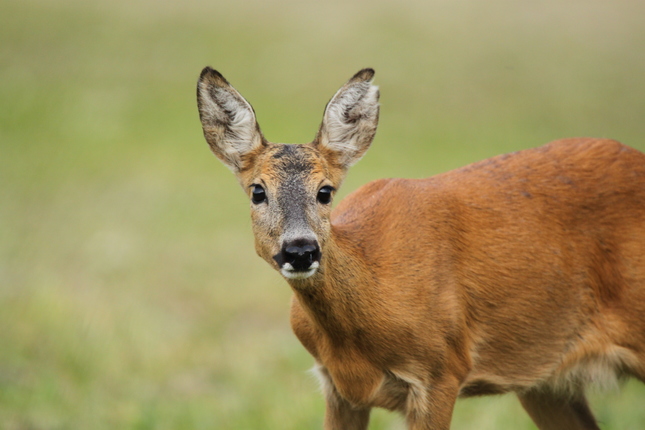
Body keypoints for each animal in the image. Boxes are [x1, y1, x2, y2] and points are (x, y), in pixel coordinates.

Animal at [195, 66, 644, 426]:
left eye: (325, 191)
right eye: (258, 191)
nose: (301, 250)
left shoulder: (442, 370)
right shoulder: (337, 387)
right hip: (546, 381)